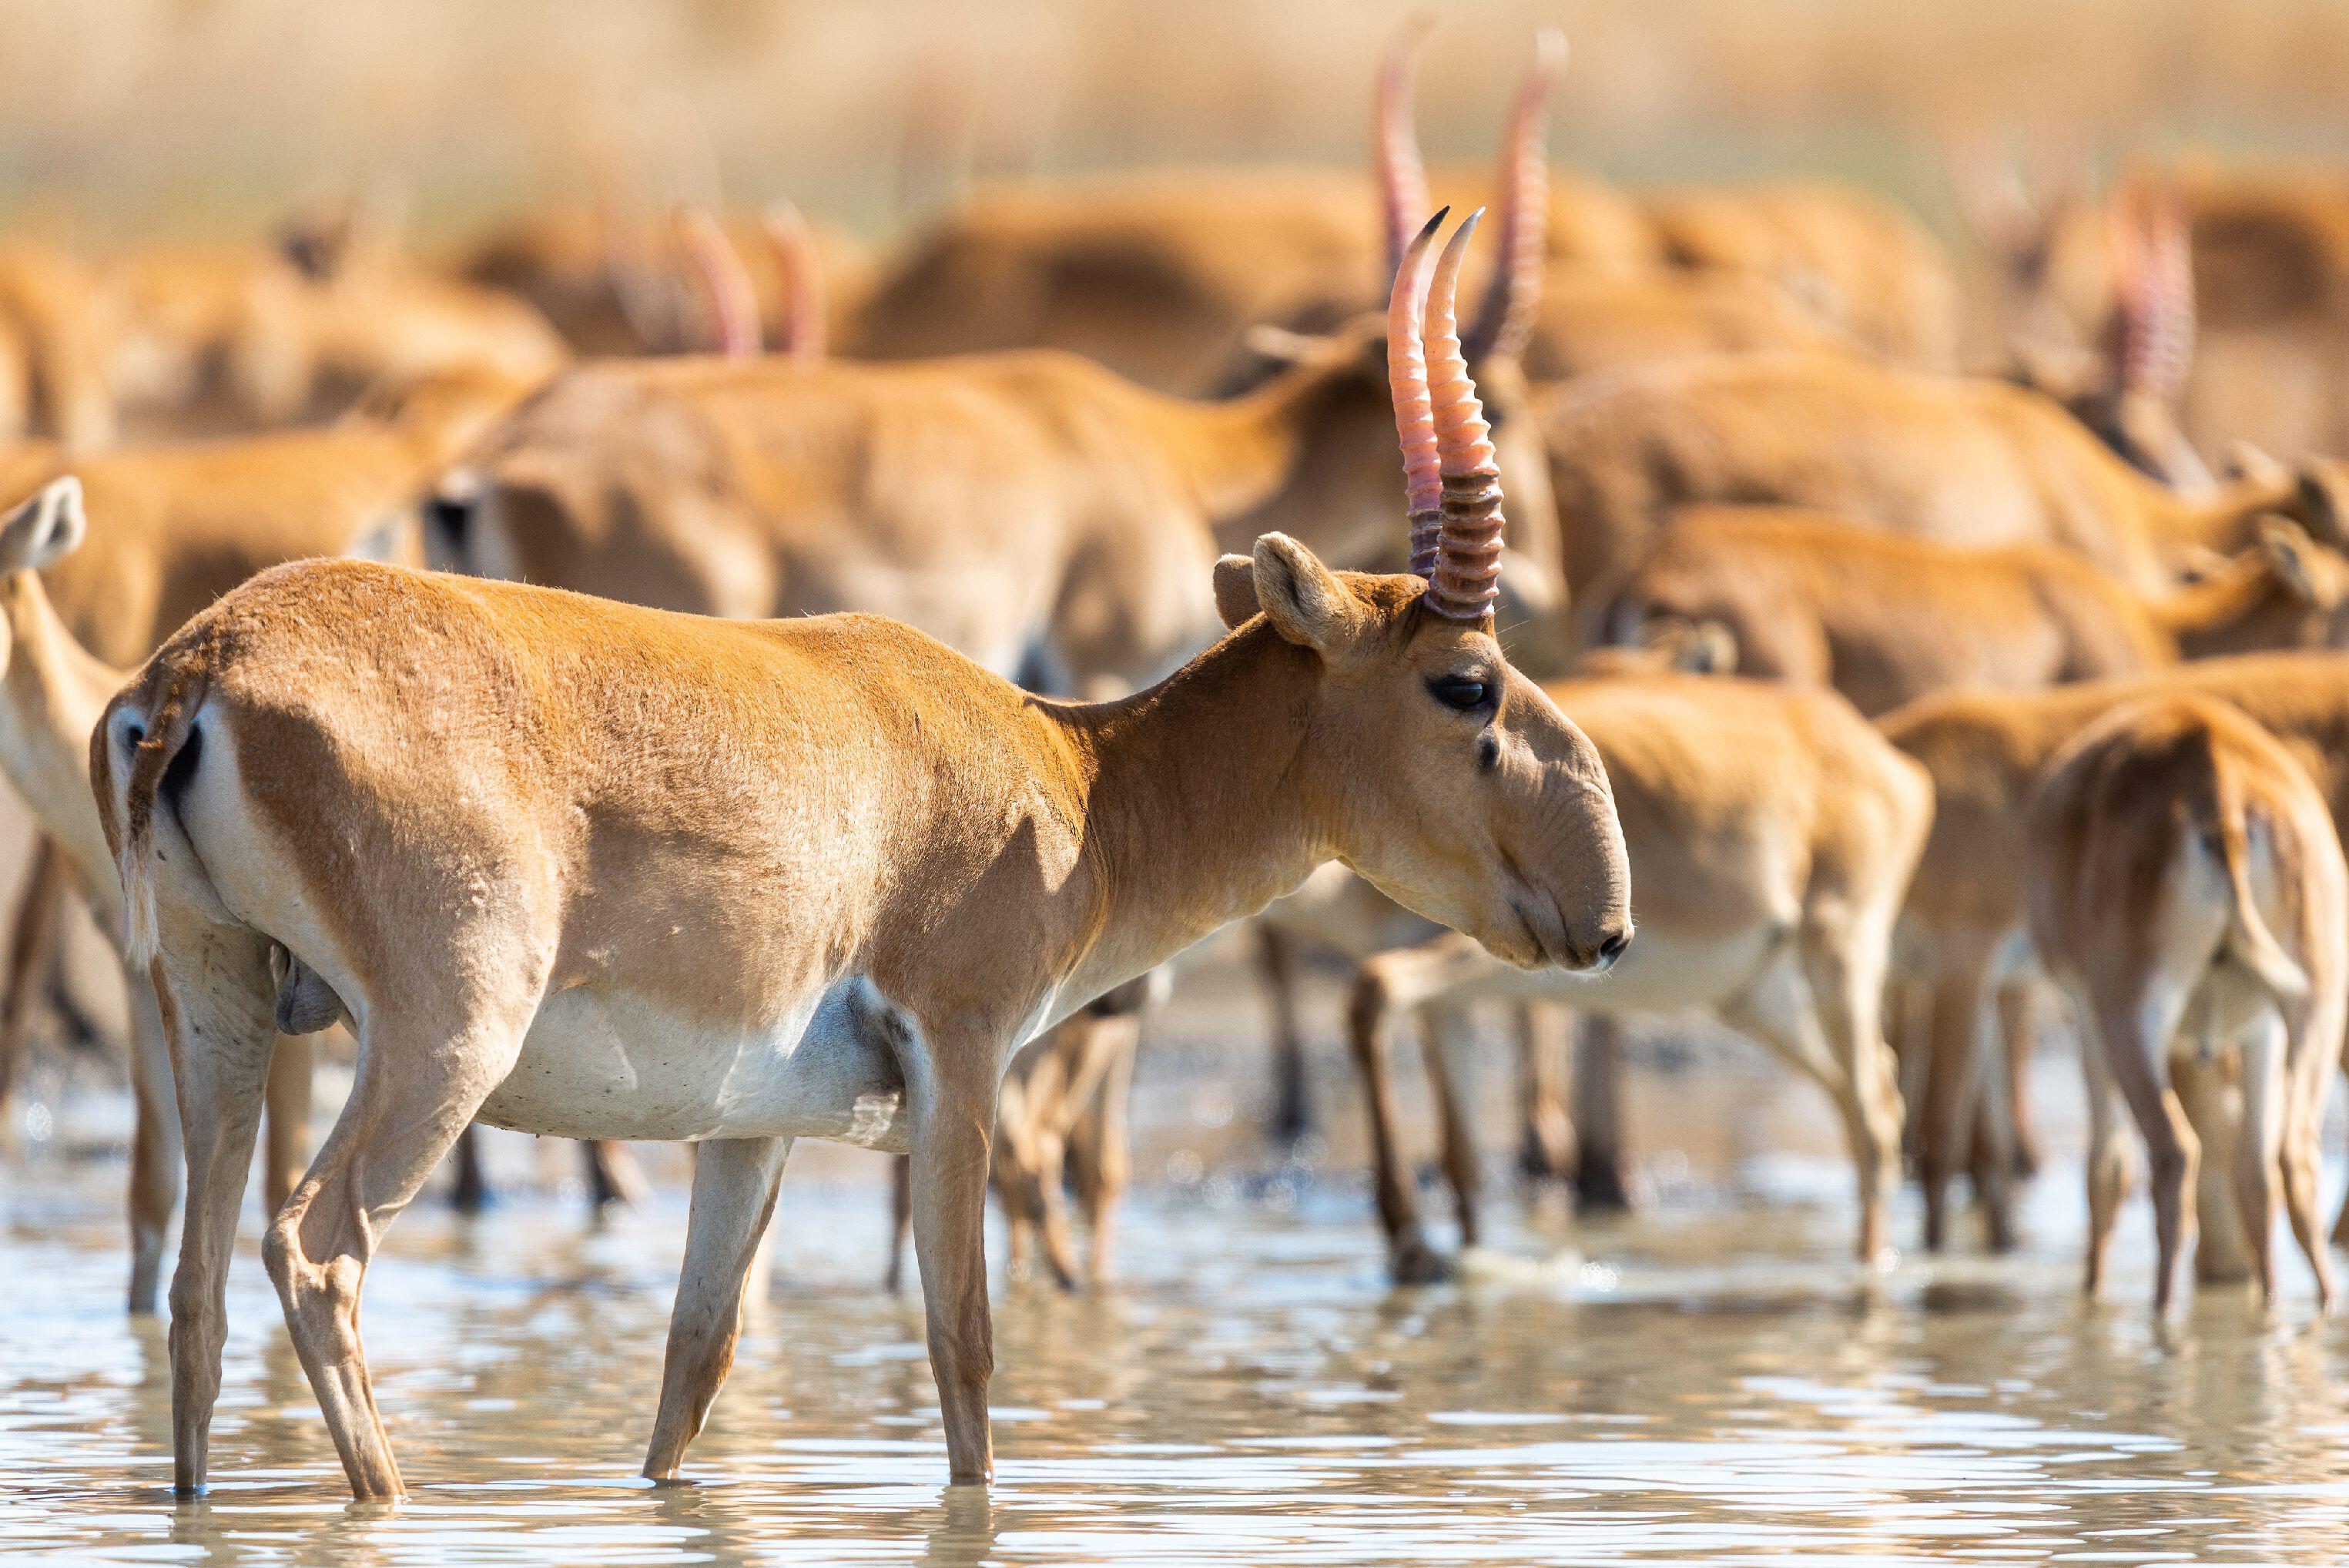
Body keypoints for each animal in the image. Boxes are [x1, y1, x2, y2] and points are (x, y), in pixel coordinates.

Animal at [96, 205, 1634, 1493]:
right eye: (1467, 683)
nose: (1605, 920)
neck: (1068, 782)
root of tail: (205, 663)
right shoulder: (962, 1057)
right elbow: (963, 1335)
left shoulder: (748, 1128)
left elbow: (695, 1365)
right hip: (440, 1043)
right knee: (316, 1250)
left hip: (223, 1013)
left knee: (197, 1286)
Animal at [1343, 671, 1926, 1277]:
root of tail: (1895, 765)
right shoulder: (1448, 1008)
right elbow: (1463, 1158)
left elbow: (1375, 986)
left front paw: (1409, 1238)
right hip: (1759, 1001)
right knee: (1873, 1096)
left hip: (1839, 960)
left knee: (1873, 1115)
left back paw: (1869, 1271)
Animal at [2029, 699, 2339, 1314]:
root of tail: (2217, 776)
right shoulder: (2261, 1028)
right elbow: (2253, 1175)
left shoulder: (2085, 1018)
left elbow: (2105, 1167)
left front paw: (2092, 1293)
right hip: (2316, 1002)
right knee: (2290, 1156)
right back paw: (2295, 1307)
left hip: (2129, 1015)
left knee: (2173, 1154)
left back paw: (2161, 1310)